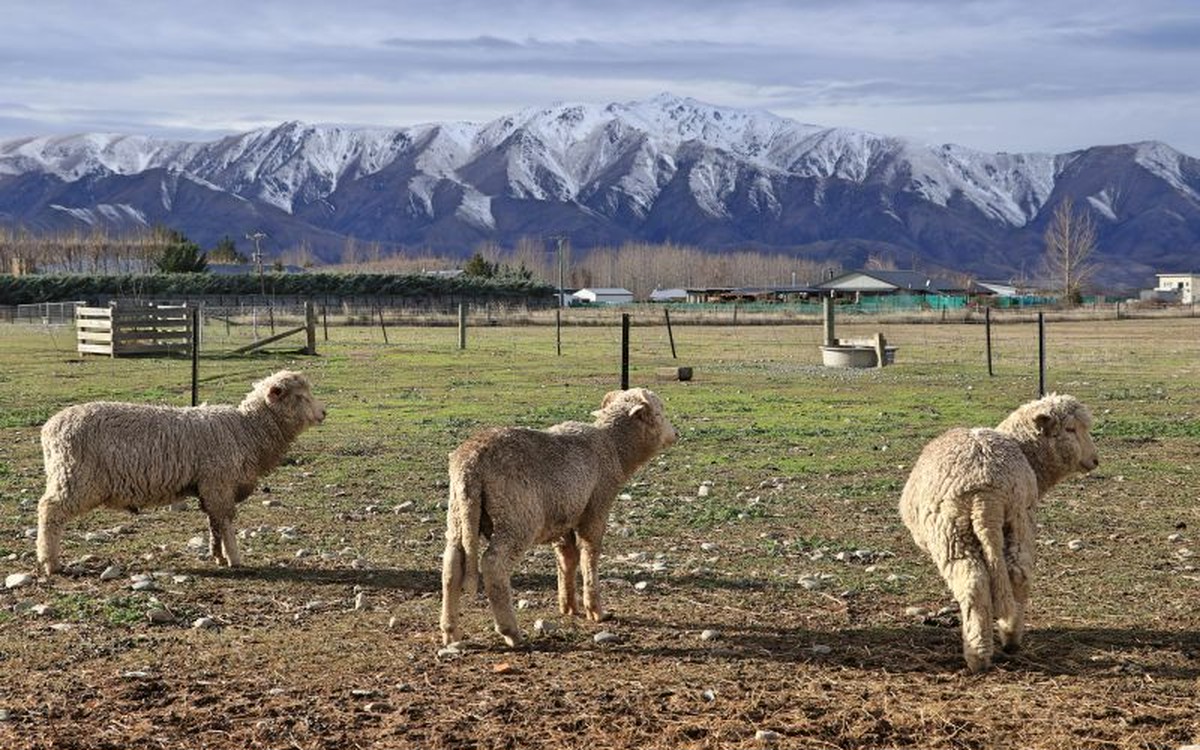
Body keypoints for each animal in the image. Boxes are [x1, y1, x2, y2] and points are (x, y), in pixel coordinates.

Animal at [38, 369, 328, 573]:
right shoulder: (219, 484)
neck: (247, 430)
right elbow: (225, 522)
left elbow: (214, 524)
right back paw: (51, 562)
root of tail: (49, 428)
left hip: (67, 476)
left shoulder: (210, 489)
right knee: (49, 510)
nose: (324, 413)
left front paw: (218, 555)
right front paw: (235, 558)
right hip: (76, 478)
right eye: (301, 396)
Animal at [439, 386, 676, 643]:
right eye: (660, 413)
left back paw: (450, 631)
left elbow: (567, 558)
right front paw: (596, 611)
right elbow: (589, 555)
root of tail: (471, 464)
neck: (614, 447)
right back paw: (510, 631)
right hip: (517, 518)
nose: (675, 434)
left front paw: (569, 606)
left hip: (458, 514)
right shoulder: (596, 507)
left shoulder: (564, 516)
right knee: (493, 564)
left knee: (452, 563)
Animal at [902, 391, 1099, 672]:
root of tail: (986, 491)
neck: (1028, 454)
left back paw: (977, 654)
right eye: (1070, 429)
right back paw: (1011, 637)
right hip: (1019, 519)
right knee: (1019, 572)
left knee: (973, 582)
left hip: (952, 534)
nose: (1095, 460)